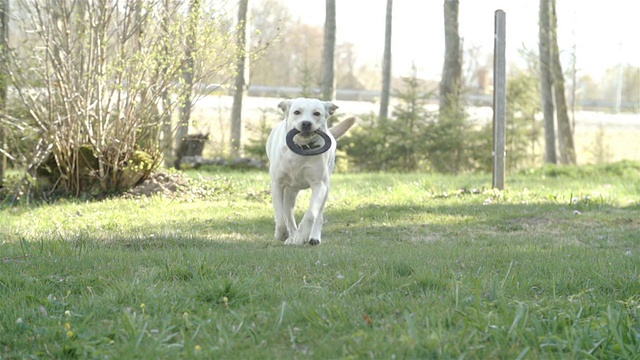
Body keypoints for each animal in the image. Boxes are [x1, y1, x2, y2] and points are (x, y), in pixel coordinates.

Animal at [264, 97, 356, 245]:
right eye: (297, 112)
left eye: (317, 113)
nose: (306, 123)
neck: (302, 148)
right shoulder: (277, 184)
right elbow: (280, 214)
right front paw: (282, 233)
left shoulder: (319, 185)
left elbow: (311, 213)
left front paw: (303, 235)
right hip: (290, 192)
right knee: (288, 214)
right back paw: (291, 236)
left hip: (326, 188)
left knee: (319, 215)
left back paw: (312, 237)